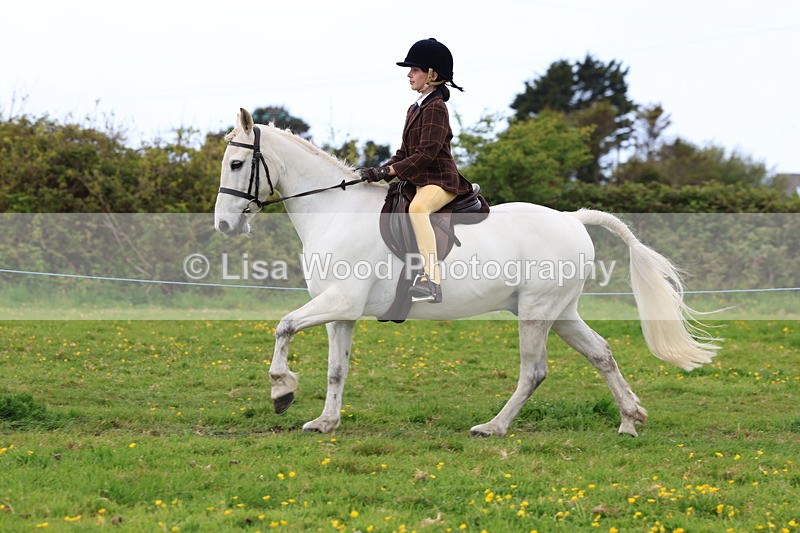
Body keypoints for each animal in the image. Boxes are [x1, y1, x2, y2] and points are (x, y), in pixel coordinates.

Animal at [213, 108, 719, 437]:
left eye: (237, 164)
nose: (224, 225)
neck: (335, 211)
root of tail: (573, 218)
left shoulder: (341, 300)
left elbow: (284, 326)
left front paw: (281, 391)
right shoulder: (342, 312)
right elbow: (337, 369)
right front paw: (326, 421)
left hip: (536, 312)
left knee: (534, 371)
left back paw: (493, 427)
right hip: (560, 311)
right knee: (602, 354)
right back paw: (630, 420)